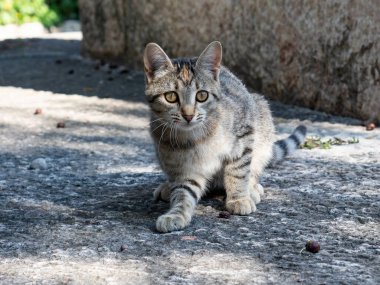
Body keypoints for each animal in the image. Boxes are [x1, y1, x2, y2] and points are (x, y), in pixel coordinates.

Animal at [142, 42, 306, 233]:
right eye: (170, 96)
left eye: (202, 95)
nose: (188, 115)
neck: (197, 137)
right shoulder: (186, 168)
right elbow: (183, 193)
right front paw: (176, 214)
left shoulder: (244, 136)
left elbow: (238, 172)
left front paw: (239, 199)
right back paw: (168, 187)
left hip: (262, 123)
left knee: (254, 168)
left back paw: (252, 189)